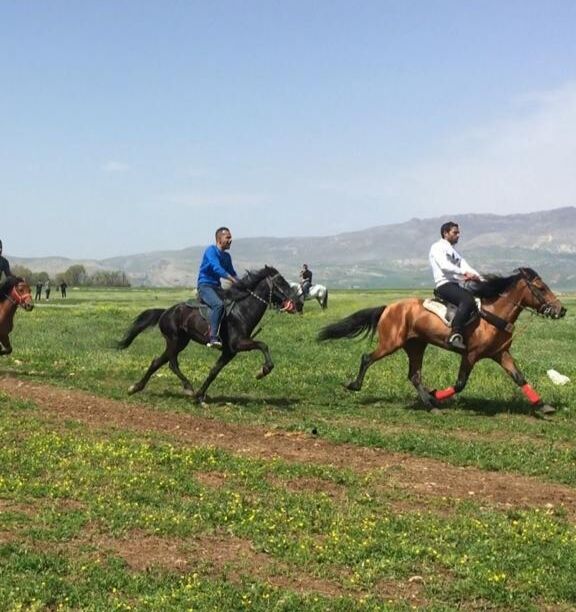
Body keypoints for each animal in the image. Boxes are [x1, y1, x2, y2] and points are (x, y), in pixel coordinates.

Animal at [117, 266, 299, 402]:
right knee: (171, 363)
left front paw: (200, 395)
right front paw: (263, 370)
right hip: (174, 341)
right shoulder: (238, 344)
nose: (297, 302)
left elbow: (214, 372)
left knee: (158, 362)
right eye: (280, 282)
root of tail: (165, 312)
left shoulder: (229, 352)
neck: (242, 311)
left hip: (181, 341)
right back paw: (188, 388)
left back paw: (135, 388)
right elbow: (263, 345)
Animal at [318, 268, 566, 417]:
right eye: (541, 288)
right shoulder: (470, 355)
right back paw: (355, 385)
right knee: (367, 358)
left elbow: (519, 378)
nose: (561, 310)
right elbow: (460, 383)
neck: (492, 316)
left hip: (416, 345)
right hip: (390, 343)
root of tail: (388, 307)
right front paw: (437, 394)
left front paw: (543, 406)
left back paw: (429, 404)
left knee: (414, 375)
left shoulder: (500, 354)